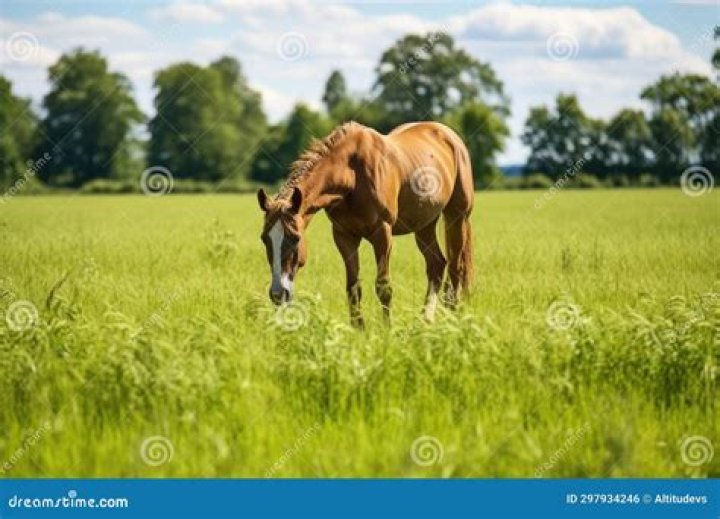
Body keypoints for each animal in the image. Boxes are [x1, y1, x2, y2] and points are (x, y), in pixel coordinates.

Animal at [257, 121, 474, 327]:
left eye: (295, 238)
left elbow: (383, 286)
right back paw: (426, 319)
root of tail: (451, 137)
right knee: (437, 265)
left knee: (456, 269)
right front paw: (358, 328)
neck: (351, 174)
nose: (277, 294)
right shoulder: (344, 236)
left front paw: (387, 328)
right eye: (265, 239)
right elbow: (353, 287)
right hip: (424, 226)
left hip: (457, 218)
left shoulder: (382, 234)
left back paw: (452, 318)